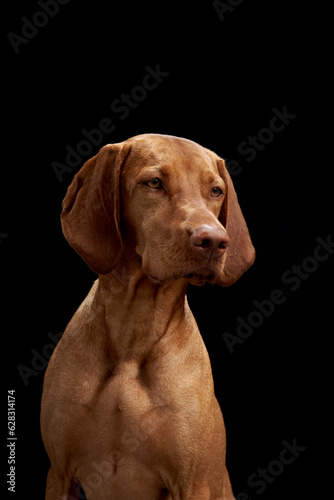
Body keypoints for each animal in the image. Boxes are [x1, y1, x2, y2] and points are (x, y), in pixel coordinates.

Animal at [41, 134, 256, 500]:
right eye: (154, 183)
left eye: (216, 191)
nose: (214, 240)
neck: (134, 329)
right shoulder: (59, 474)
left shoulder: (192, 482)